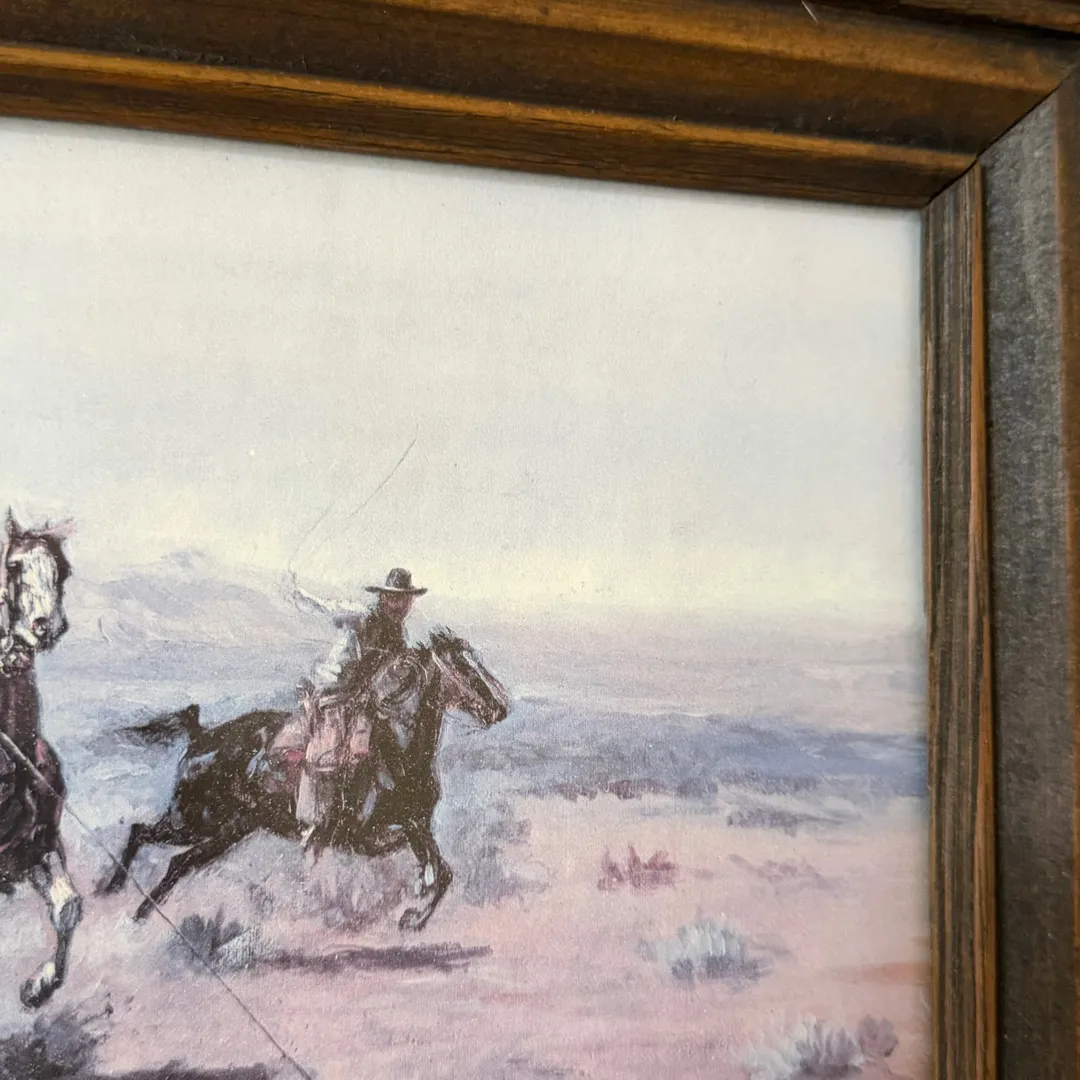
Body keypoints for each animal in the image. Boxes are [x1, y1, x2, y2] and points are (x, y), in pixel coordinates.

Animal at [102, 628, 510, 931]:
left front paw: (414, 916)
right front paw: (415, 902)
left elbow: (443, 871)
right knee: (163, 849)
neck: (398, 751)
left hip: (224, 827)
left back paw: (116, 896)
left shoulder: (416, 824)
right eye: (466, 669)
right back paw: (128, 907)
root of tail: (200, 736)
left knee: (158, 845)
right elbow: (417, 861)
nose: (500, 709)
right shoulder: (364, 835)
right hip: (202, 821)